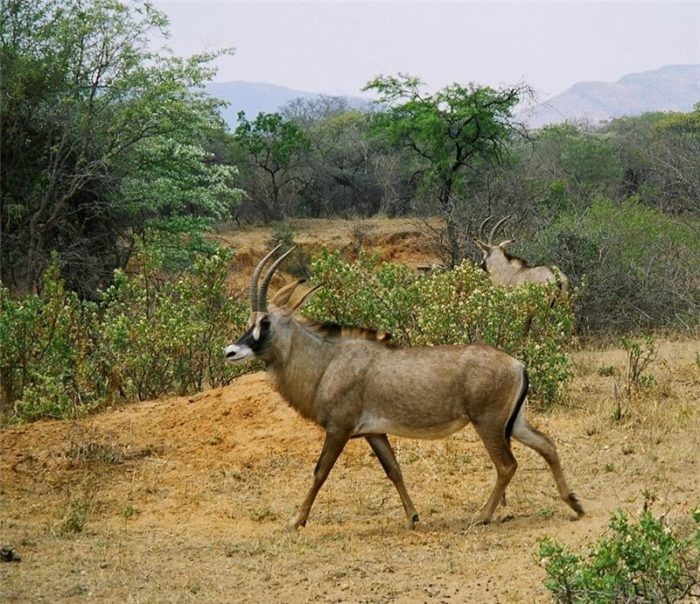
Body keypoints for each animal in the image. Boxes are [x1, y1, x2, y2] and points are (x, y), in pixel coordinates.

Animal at [226, 245, 584, 528]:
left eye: (265, 323)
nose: (230, 351)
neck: (328, 362)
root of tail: (517, 364)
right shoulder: (374, 432)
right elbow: (394, 470)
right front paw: (413, 516)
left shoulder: (339, 429)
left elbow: (319, 472)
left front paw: (296, 520)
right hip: (514, 422)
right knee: (547, 445)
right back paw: (574, 502)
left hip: (489, 424)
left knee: (507, 465)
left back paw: (482, 516)